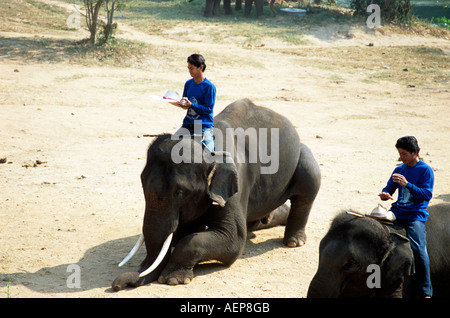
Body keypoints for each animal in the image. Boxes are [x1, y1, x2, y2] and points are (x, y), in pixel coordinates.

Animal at [112, 98, 324, 290]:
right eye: (142, 184)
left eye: (180, 192)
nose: (117, 285)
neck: (205, 147)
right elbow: (187, 230)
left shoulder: (235, 184)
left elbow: (233, 240)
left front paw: (172, 279)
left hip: (303, 158)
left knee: (307, 188)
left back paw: (294, 242)